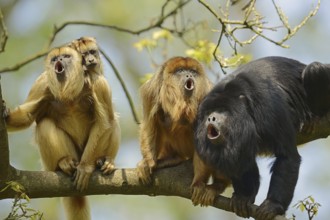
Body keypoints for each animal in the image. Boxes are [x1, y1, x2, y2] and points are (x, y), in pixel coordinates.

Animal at [4, 45, 120, 220]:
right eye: (54, 59)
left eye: (66, 56)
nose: (58, 60)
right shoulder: (41, 83)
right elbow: (27, 115)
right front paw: (4, 114)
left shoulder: (99, 84)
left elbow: (104, 122)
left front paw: (86, 168)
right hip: (54, 163)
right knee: (44, 124)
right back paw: (62, 163)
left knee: (113, 121)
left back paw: (106, 161)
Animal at [137, 56, 214, 184]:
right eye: (181, 70)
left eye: (192, 71)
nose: (189, 75)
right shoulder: (151, 90)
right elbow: (149, 124)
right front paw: (148, 164)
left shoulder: (208, 93)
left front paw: (198, 182)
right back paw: (172, 159)